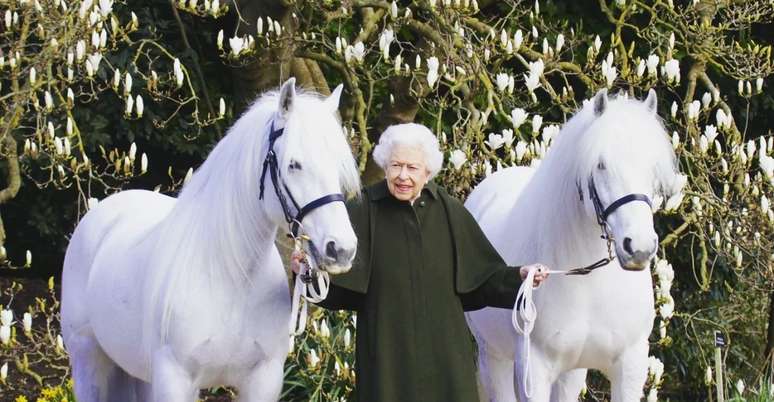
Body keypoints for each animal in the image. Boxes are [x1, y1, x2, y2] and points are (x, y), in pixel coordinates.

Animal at [62, 78, 362, 402]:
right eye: (294, 164)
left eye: (338, 167)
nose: (341, 249)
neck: (231, 278)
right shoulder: (175, 379)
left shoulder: (263, 380)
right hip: (88, 361)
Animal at [464, 88, 684, 402]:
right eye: (601, 164)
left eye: (652, 166)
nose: (639, 247)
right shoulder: (535, 370)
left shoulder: (630, 366)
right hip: (494, 357)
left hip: (571, 371)